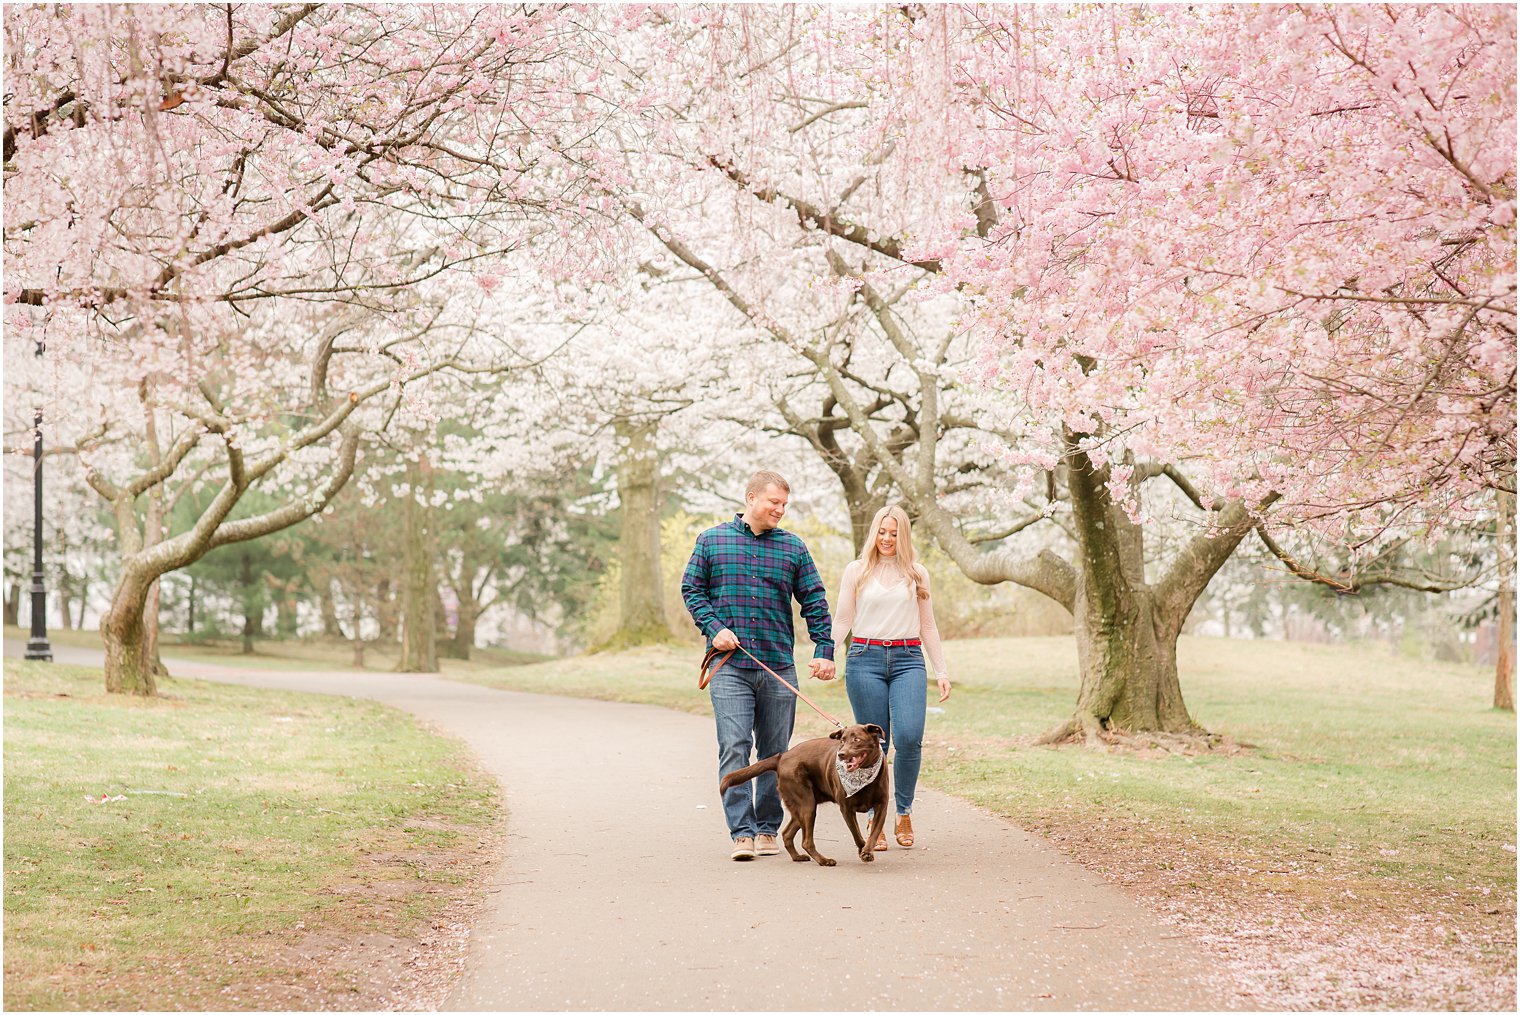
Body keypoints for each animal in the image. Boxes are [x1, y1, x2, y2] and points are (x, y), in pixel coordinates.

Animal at [720, 720, 887, 863]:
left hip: (801, 806)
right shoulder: (846, 809)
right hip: (807, 804)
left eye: (857, 740)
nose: (841, 754)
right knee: (806, 842)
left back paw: (797, 857)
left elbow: (874, 832)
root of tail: (781, 757)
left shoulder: (881, 806)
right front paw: (862, 850)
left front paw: (867, 851)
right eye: (842, 741)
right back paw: (823, 860)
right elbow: (856, 833)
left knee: (787, 834)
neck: (863, 774)